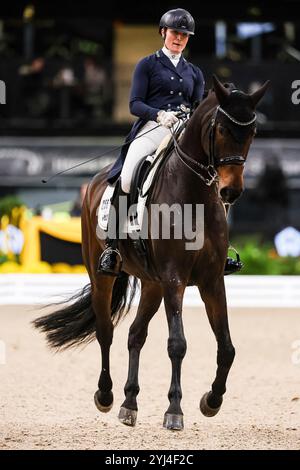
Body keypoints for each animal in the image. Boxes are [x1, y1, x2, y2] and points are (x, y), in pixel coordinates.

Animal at [34, 76, 268, 430]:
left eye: (252, 132)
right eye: (221, 130)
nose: (231, 191)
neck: (195, 195)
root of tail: (96, 181)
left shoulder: (212, 280)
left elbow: (227, 347)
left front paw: (211, 401)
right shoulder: (174, 278)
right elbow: (177, 344)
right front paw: (174, 411)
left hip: (152, 284)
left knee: (135, 334)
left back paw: (129, 405)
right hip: (104, 275)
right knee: (106, 331)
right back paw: (106, 396)